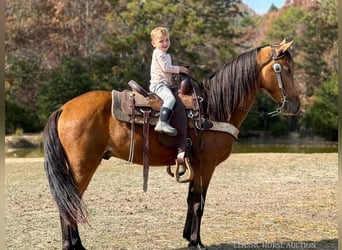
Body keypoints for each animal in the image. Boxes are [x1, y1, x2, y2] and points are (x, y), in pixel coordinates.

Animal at [43, 40, 300, 249]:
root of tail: (64, 107)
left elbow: (191, 199)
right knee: (69, 203)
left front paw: (188, 237)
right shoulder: (206, 165)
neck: (212, 108)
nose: (295, 106)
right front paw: (196, 242)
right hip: (82, 166)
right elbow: (198, 203)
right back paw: (73, 245)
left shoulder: (195, 164)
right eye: (284, 69)